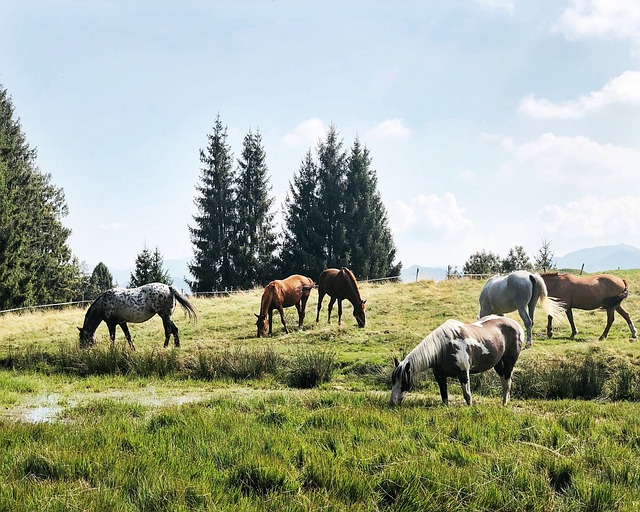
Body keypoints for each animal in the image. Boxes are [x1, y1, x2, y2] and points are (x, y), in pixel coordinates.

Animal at [390, 314, 524, 406]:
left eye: (404, 381)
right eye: (393, 380)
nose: (392, 402)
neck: (443, 348)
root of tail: (516, 325)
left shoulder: (464, 374)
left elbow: (467, 396)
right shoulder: (439, 376)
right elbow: (444, 395)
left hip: (509, 363)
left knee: (507, 383)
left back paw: (504, 404)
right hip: (498, 364)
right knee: (504, 381)